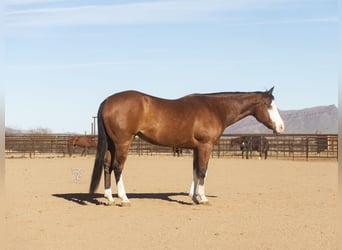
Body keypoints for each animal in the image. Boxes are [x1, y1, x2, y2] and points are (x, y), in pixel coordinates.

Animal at [89, 87, 284, 206]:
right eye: (269, 105)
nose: (281, 128)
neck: (215, 109)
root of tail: (108, 100)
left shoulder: (197, 148)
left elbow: (196, 171)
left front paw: (194, 197)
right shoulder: (206, 146)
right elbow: (203, 171)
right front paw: (203, 198)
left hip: (112, 144)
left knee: (107, 166)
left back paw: (109, 198)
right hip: (122, 143)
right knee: (117, 167)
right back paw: (124, 199)